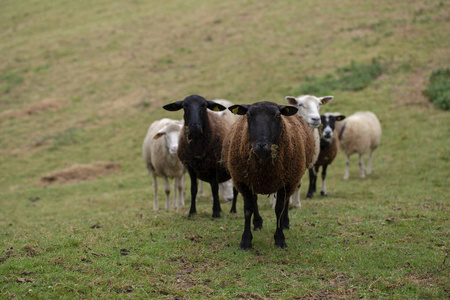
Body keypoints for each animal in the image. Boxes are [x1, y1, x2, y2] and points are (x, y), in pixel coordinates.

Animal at [222, 102, 314, 250]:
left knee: (285, 203)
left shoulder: (286, 183)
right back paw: (257, 223)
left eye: (277, 115)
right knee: (254, 202)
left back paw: (285, 223)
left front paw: (280, 239)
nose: (261, 145)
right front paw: (246, 241)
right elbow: (248, 209)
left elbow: (279, 209)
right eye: (248, 114)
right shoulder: (244, 182)